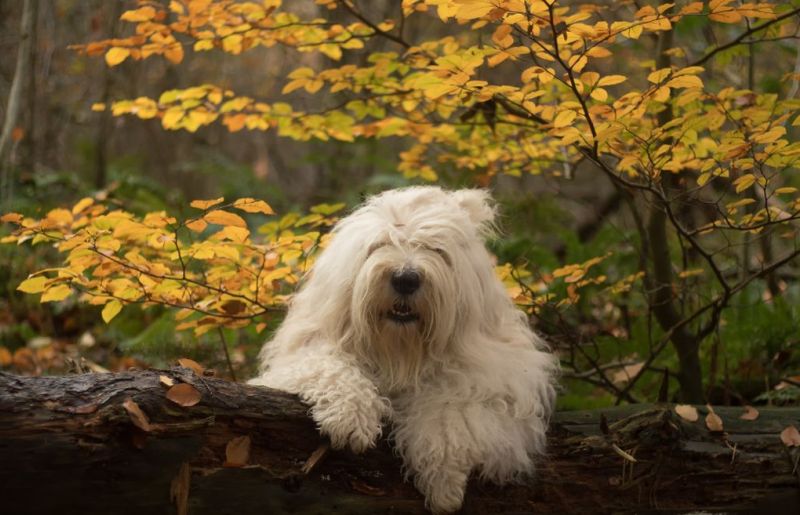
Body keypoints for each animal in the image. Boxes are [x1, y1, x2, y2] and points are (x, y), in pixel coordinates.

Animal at [250, 187, 556, 512]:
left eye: (437, 250)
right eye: (380, 244)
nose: (405, 279)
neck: (399, 351)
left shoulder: (500, 379)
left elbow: (452, 406)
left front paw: (444, 481)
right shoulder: (305, 352)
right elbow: (327, 367)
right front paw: (350, 419)